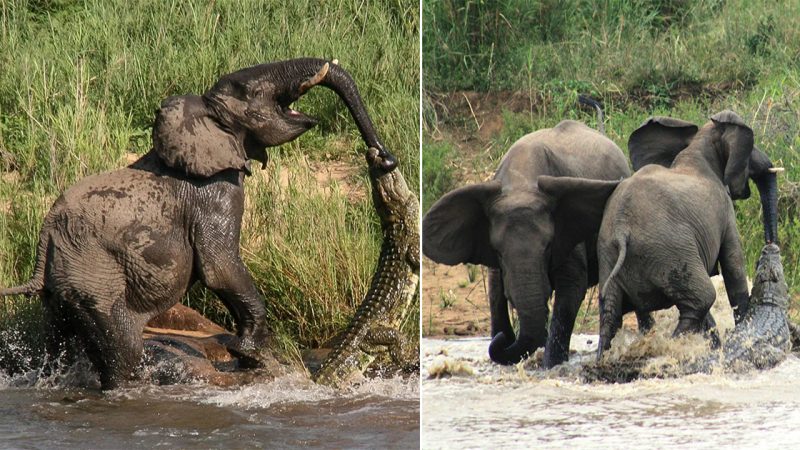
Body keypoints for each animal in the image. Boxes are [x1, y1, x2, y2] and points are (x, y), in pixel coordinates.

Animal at [0, 58, 398, 390]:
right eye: (249, 91)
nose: (384, 157)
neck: (205, 115)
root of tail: (46, 235)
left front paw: (248, 357)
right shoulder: (215, 192)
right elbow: (219, 267)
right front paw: (250, 354)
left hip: (64, 286)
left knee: (58, 341)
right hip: (94, 276)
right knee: (123, 350)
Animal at [540, 110, 780, 358]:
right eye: (751, 147)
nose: (770, 245)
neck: (699, 145)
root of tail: (623, 230)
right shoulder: (724, 210)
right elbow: (733, 265)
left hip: (610, 251)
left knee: (610, 314)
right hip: (671, 251)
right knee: (701, 300)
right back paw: (673, 346)